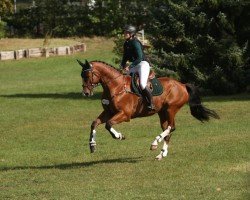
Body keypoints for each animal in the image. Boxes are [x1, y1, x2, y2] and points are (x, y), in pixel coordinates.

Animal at [77, 59, 219, 161]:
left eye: (87, 75)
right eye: (82, 75)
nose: (86, 93)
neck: (116, 87)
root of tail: (182, 85)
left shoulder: (124, 115)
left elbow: (108, 124)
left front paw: (119, 136)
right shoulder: (108, 112)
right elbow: (94, 123)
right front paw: (92, 145)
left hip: (171, 109)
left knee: (171, 127)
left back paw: (155, 143)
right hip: (162, 113)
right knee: (168, 130)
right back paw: (161, 154)